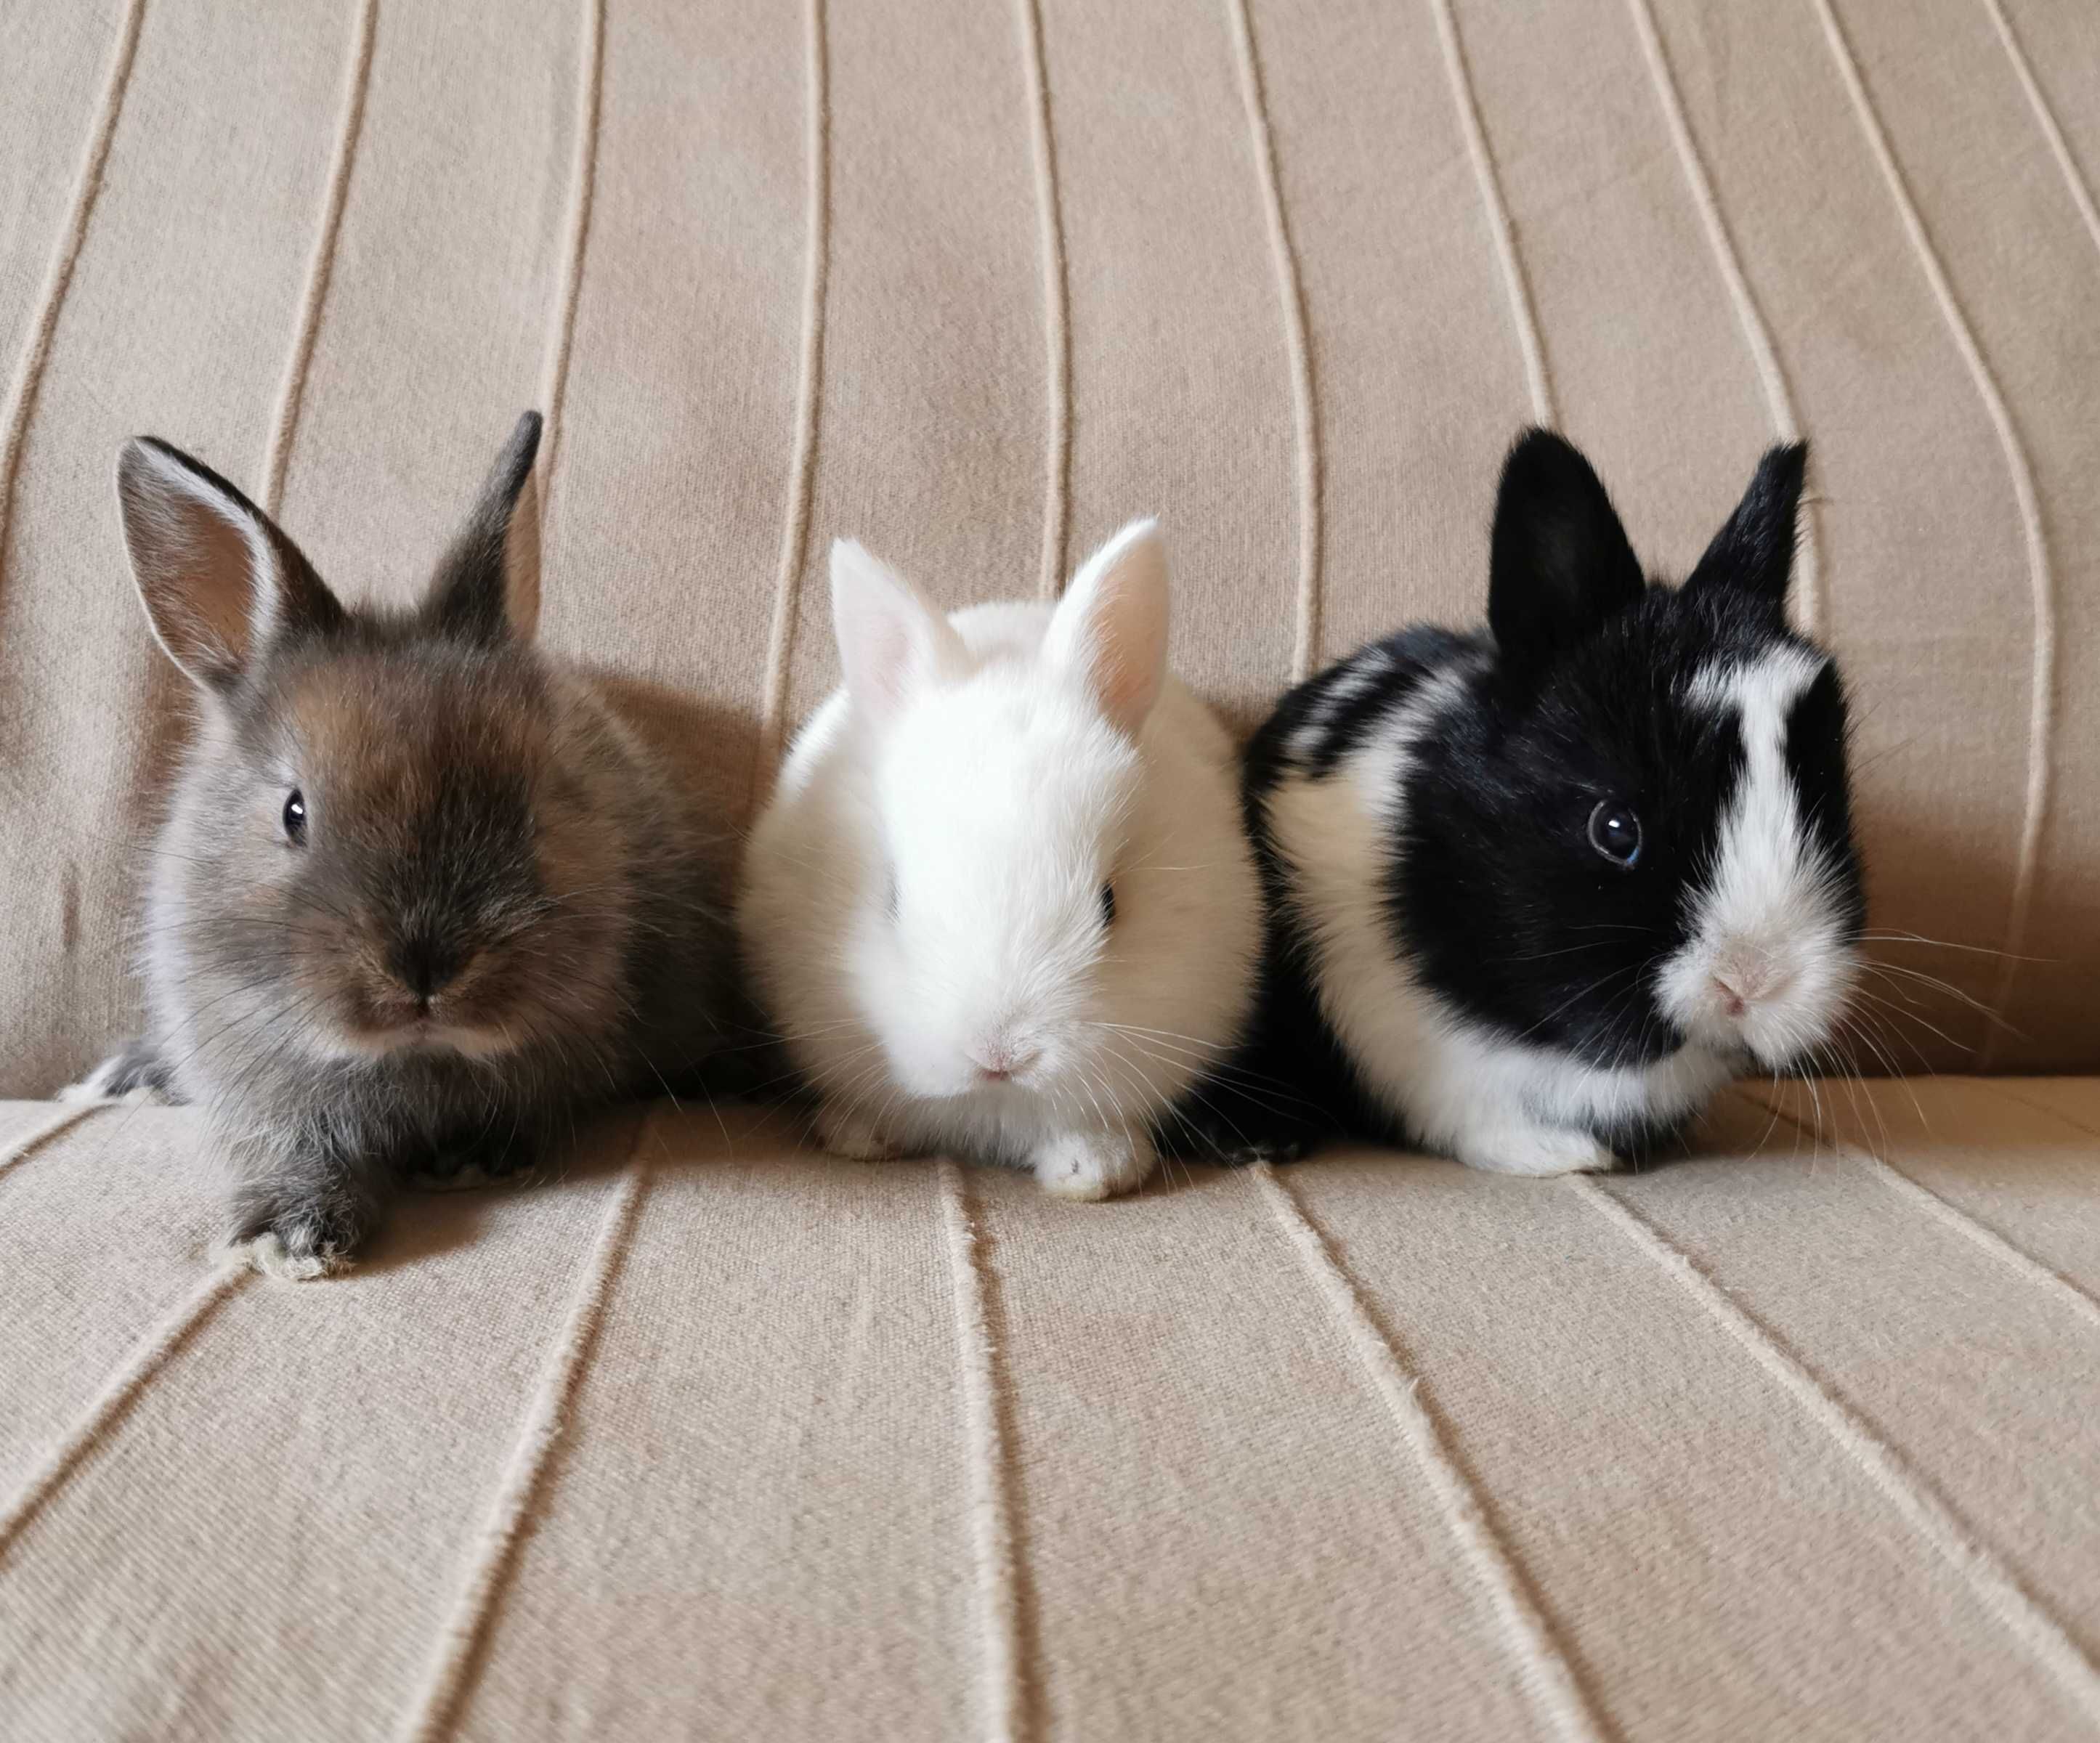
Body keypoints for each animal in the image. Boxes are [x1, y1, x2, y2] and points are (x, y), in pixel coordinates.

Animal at [65, 415, 734, 1277]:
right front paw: (292, 1234)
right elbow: (294, 1148)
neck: (412, 1057)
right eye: (294, 812)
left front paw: (471, 1159)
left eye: (532, 804)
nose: (424, 970)